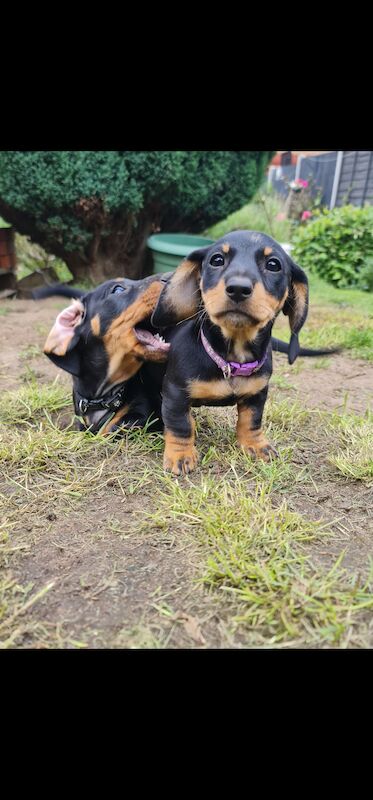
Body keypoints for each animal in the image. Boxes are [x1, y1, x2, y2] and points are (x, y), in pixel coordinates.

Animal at [150, 228, 336, 472]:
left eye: (273, 264)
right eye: (217, 260)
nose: (238, 289)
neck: (231, 360)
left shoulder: (258, 393)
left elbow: (251, 420)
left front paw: (256, 445)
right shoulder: (175, 393)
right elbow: (180, 424)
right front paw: (181, 455)